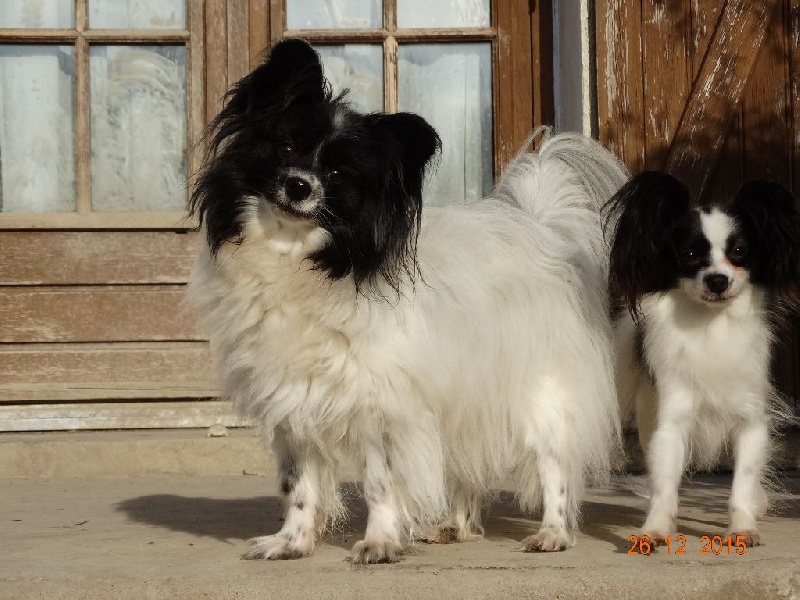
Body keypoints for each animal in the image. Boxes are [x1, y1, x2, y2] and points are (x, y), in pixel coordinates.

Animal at [186, 37, 624, 564]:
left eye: (337, 171)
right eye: (285, 148)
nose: (298, 185)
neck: (301, 261)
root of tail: (544, 228)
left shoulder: (384, 407)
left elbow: (379, 483)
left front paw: (379, 542)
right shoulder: (295, 406)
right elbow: (298, 486)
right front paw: (292, 543)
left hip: (538, 394)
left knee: (553, 462)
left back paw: (553, 533)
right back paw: (456, 527)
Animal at [608, 171, 796, 548]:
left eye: (739, 251)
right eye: (690, 255)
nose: (718, 280)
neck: (712, 326)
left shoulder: (750, 422)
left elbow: (742, 481)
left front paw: (743, 528)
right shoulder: (671, 421)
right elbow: (665, 483)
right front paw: (655, 528)